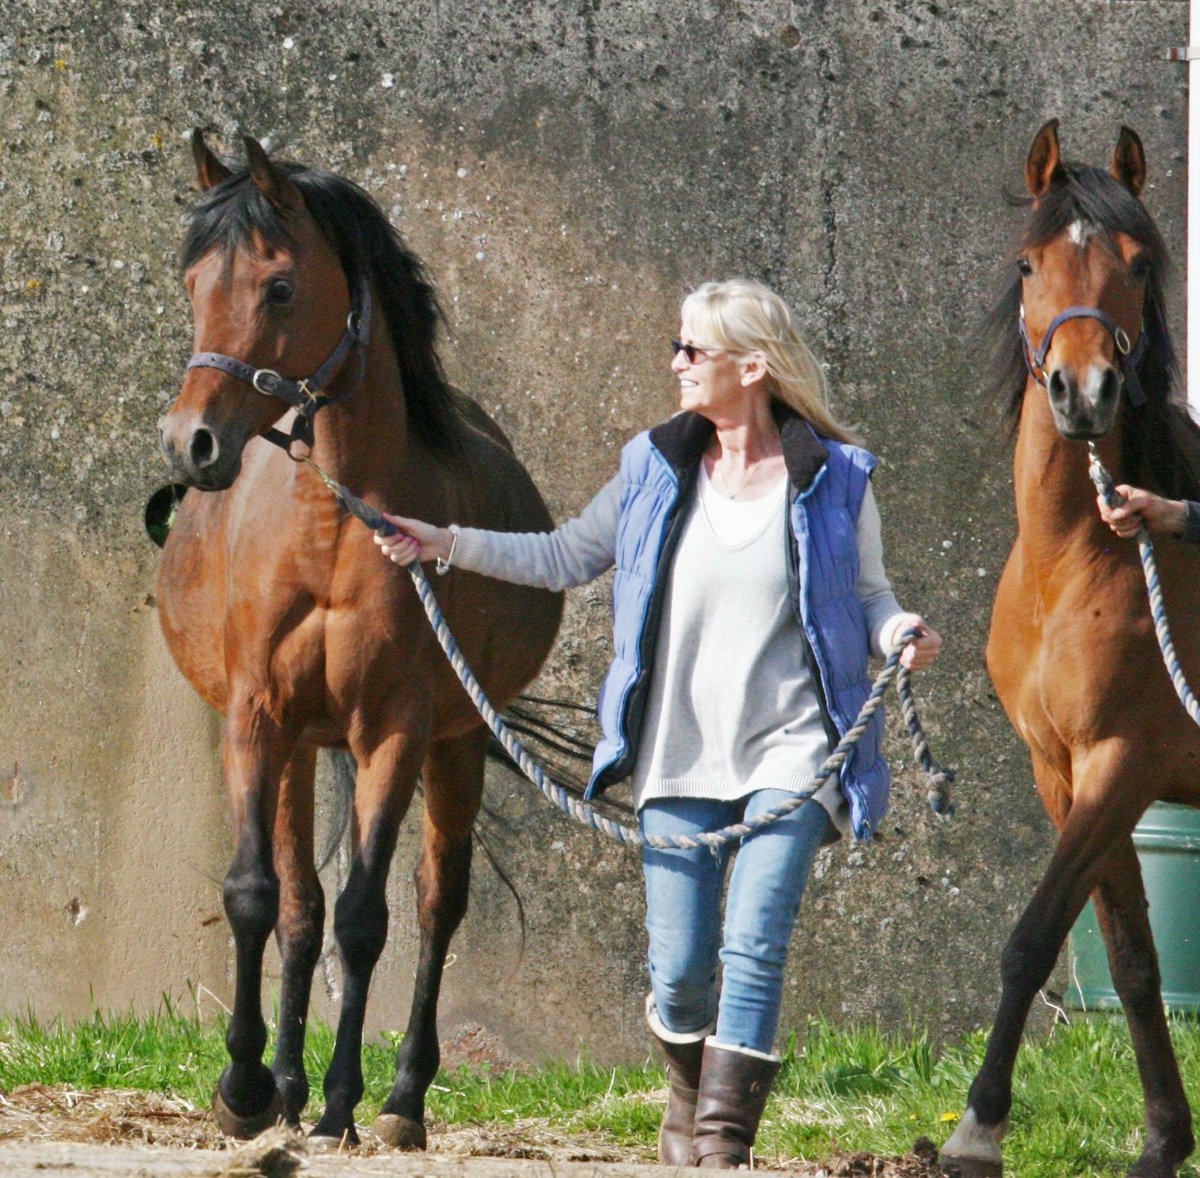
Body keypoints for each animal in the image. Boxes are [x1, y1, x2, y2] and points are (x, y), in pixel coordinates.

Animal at [155, 131, 563, 1148]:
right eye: (192, 283)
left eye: (278, 288)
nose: (191, 444)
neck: (332, 524)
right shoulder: (257, 716)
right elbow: (257, 896)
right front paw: (244, 1088)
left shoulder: (396, 730)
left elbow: (367, 916)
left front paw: (342, 1098)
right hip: (304, 744)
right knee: (298, 906)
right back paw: (287, 1087)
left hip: (455, 744)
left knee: (436, 900)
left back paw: (400, 1099)